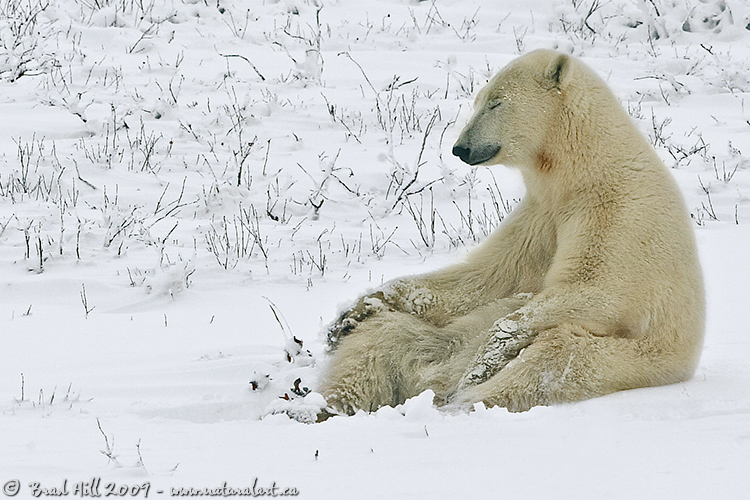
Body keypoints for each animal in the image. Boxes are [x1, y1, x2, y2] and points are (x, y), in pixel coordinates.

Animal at [318, 48, 704, 416]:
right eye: (478, 100)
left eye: (497, 102)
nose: (461, 148)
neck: (586, 173)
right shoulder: (541, 215)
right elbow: (489, 277)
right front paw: (352, 313)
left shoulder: (619, 216)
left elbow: (599, 293)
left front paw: (484, 362)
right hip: (444, 338)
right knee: (383, 339)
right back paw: (324, 404)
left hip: (629, 359)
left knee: (554, 359)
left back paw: (460, 397)